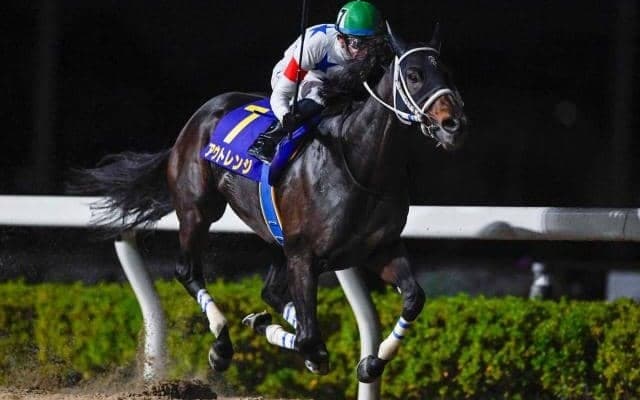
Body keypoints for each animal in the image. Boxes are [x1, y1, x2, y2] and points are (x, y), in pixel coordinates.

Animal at [73, 24, 467, 383]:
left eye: (447, 73)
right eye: (414, 75)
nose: (453, 124)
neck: (361, 166)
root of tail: (197, 119)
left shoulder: (378, 248)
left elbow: (413, 298)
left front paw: (371, 363)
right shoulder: (304, 256)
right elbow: (309, 339)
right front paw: (281, 338)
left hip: (277, 240)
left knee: (271, 293)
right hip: (198, 210)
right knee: (188, 271)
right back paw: (223, 344)